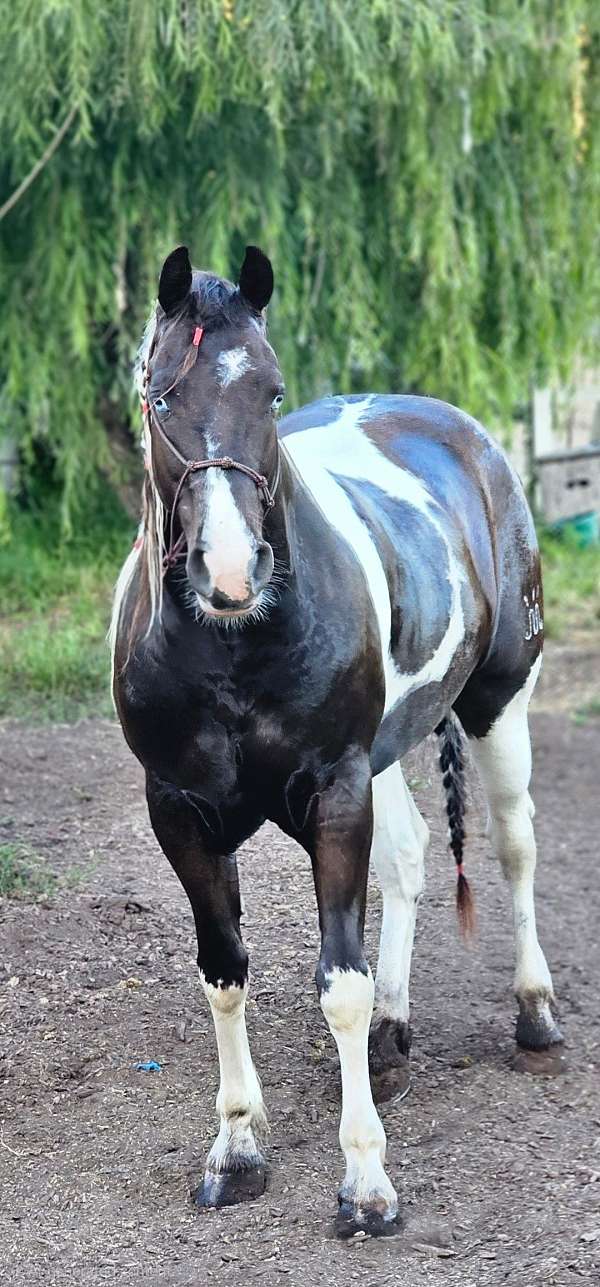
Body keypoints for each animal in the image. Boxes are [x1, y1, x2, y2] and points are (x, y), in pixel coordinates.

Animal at [111, 244, 563, 1236]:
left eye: (272, 390)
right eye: (160, 396)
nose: (232, 571)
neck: (233, 647)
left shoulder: (335, 792)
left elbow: (339, 982)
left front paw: (366, 1183)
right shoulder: (181, 813)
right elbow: (225, 973)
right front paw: (237, 1148)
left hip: (499, 702)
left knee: (515, 845)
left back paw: (537, 1015)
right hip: (386, 755)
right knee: (411, 855)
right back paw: (394, 1037)